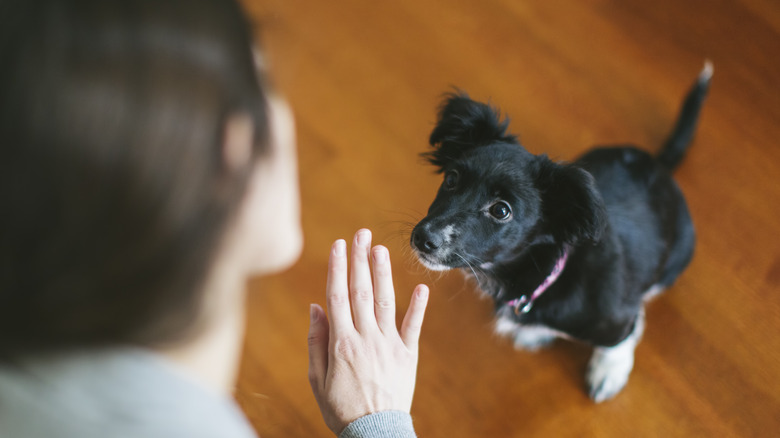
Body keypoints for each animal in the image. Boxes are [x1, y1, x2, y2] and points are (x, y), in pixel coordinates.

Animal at [412, 63, 708, 402]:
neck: (544, 275)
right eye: (451, 178)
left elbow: (618, 340)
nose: (423, 238)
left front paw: (609, 371)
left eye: (501, 210)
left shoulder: (616, 315)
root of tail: (658, 165)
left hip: (678, 257)